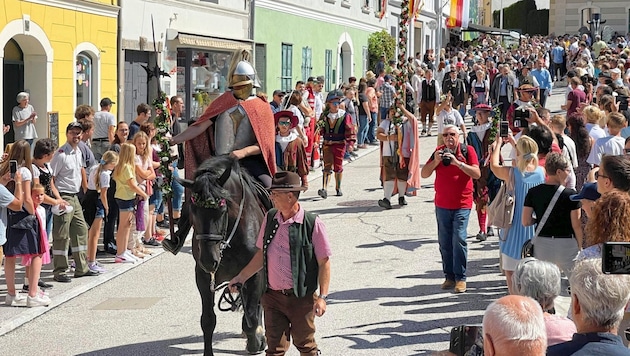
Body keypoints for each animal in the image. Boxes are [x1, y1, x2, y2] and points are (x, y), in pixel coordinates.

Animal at [179, 156, 270, 356]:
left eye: (221, 208)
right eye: (193, 210)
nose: (208, 260)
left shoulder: (254, 274)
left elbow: (252, 316)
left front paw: (256, 342)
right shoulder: (204, 277)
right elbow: (207, 320)